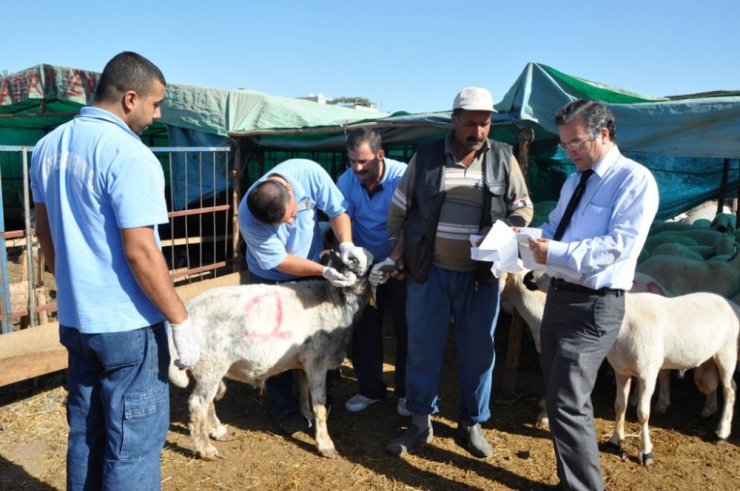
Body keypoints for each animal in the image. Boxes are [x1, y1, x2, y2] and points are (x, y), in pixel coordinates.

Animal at [171, 250, 372, 462]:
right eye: (354, 261)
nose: (352, 259)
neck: (336, 302)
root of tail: (188, 310)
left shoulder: (302, 361)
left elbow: (303, 389)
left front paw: (306, 414)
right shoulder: (317, 361)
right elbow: (320, 404)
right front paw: (325, 445)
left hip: (208, 368)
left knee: (207, 402)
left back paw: (219, 432)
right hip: (210, 365)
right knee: (198, 405)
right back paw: (206, 450)